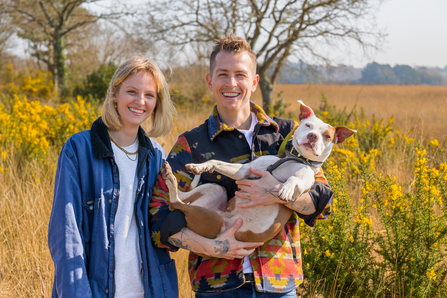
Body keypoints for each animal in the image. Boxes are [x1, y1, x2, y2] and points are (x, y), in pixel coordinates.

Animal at [163, 101, 356, 243]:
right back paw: (170, 176)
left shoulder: (304, 184)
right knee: (177, 201)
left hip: (211, 216)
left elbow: (294, 179)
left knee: (177, 203)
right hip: (214, 196)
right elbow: (215, 161)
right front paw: (200, 166)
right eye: (308, 125)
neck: (294, 158)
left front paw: (286, 189)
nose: (313, 136)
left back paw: (170, 179)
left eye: (327, 136)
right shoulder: (244, 171)